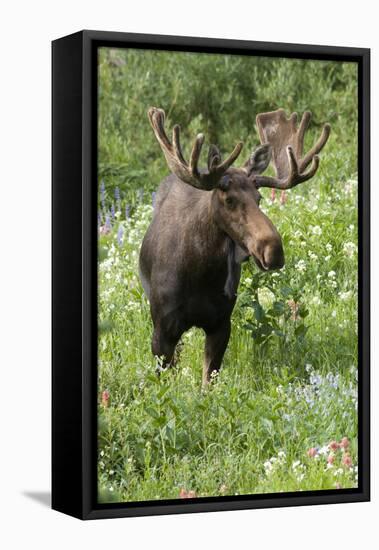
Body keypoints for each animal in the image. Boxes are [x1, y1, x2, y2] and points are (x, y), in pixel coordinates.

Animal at [139, 106, 330, 384]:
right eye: (228, 200)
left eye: (259, 197)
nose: (274, 250)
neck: (201, 274)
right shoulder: (162, 329)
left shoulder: (221, 324)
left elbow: (208, 381)